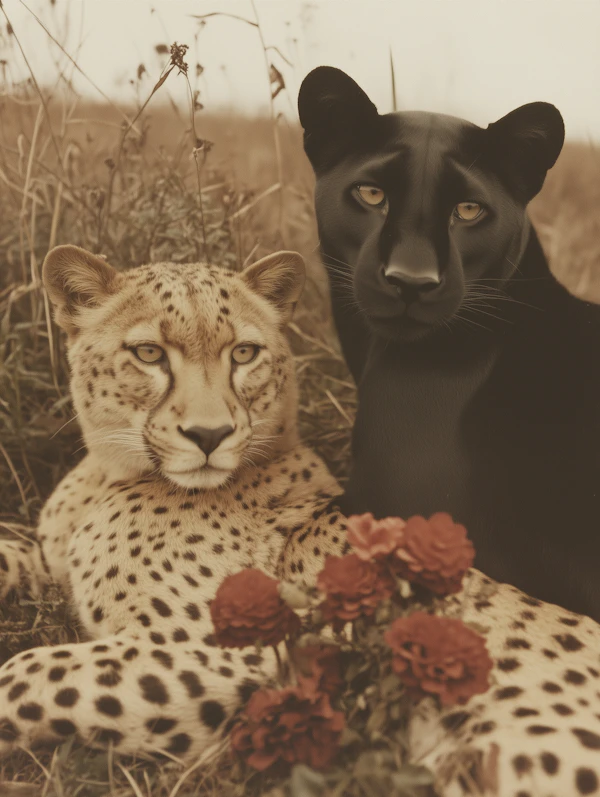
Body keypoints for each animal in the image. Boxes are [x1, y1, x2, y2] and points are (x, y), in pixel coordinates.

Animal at [1, 245, 600, 797]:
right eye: (149, 353)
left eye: (244, 353)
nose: (210, 435)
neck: (113, 473)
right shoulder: (50, 564)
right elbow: (13, 558)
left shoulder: (236, 655)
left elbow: (28, 673)